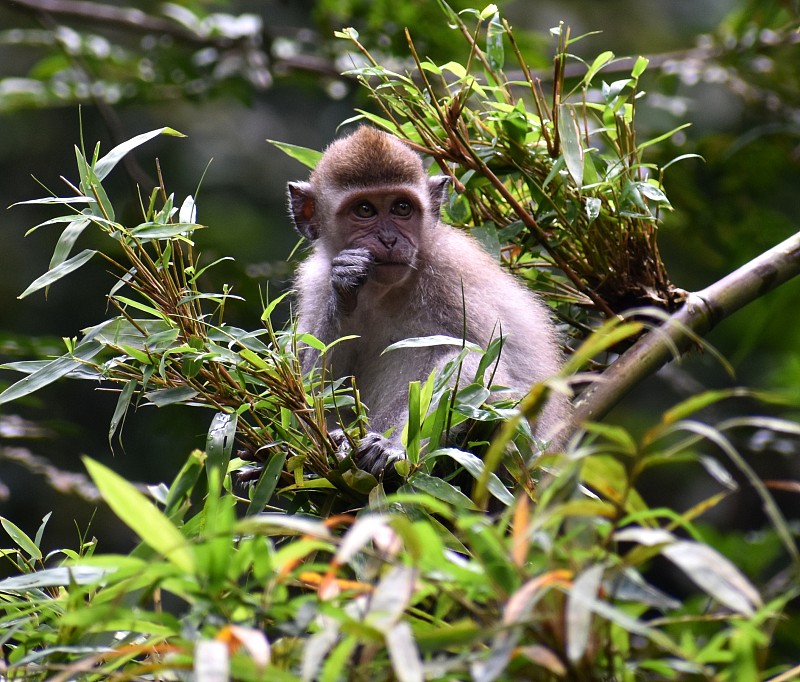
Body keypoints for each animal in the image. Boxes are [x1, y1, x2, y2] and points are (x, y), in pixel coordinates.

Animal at [288, 126, 568, 478]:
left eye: (401, 208)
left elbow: (493, 371)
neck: (384, 291)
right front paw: (346, 285)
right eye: (364, 210)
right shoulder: (316, 283)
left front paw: (391, 448)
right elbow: (315, 394)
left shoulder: (453, 274)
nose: (389, 240)